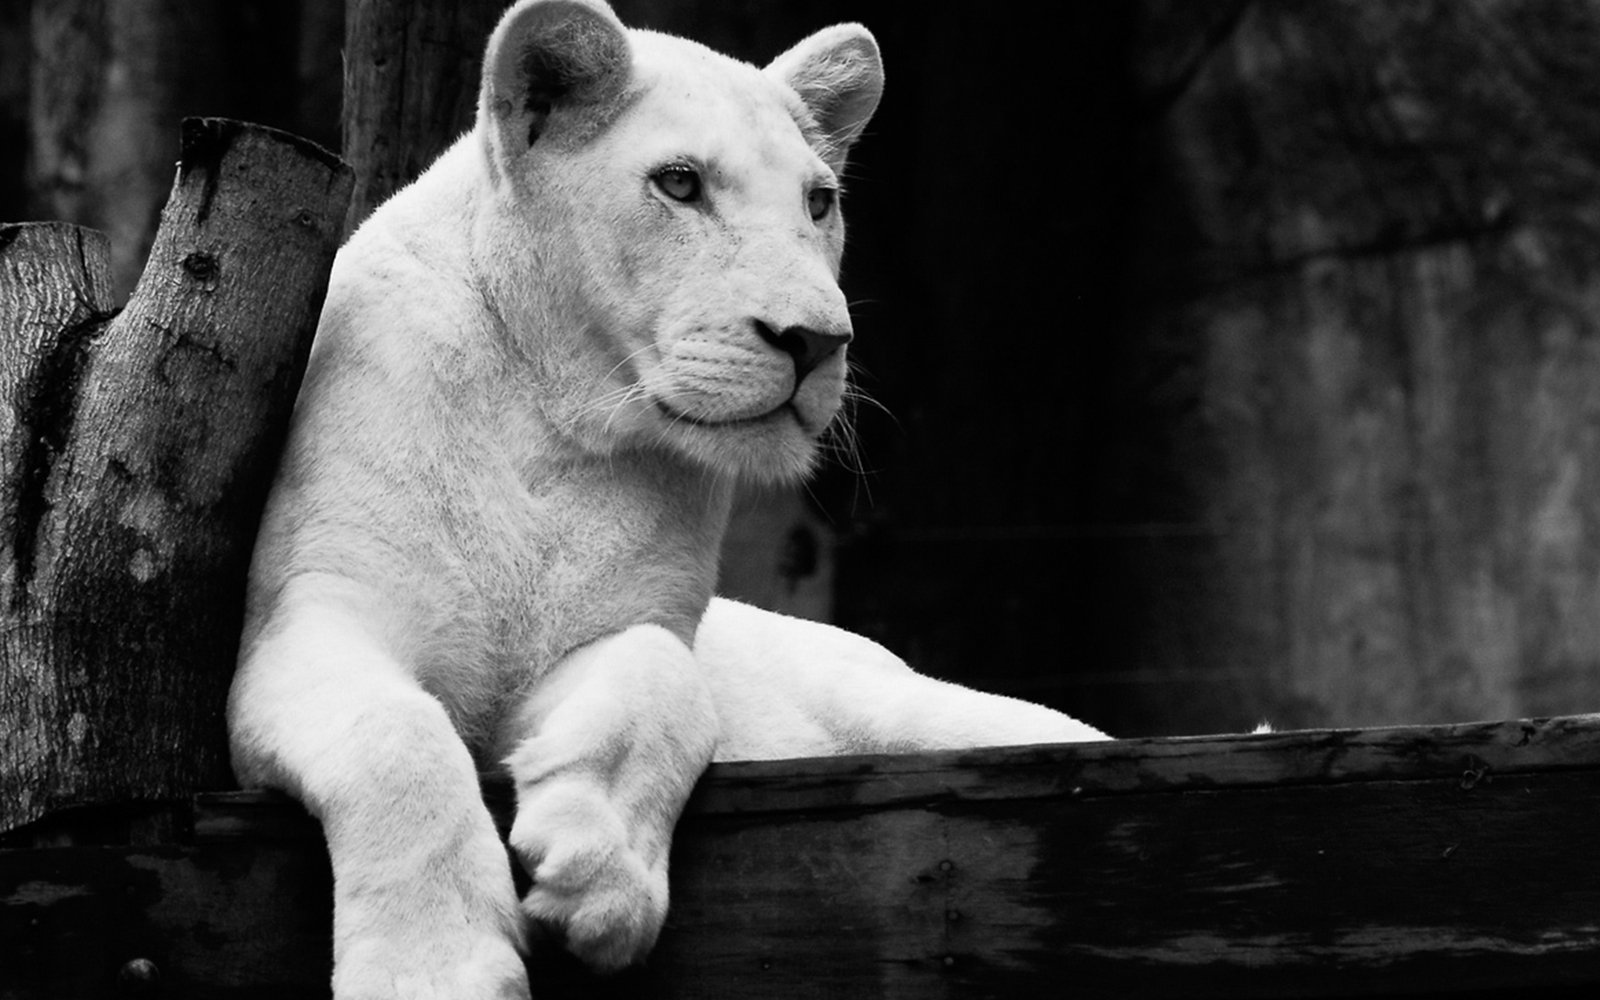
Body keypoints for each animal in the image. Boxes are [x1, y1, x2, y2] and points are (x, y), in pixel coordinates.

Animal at [225, 0, 1107, 996]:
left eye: (818, 202)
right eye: (680, 184)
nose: (817, 342)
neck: (558, 423)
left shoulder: (631, 626)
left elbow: (664, 681)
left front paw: (599, 875)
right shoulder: (307, 621)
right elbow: (397, 739)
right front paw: (437, 967)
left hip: (941, 713)